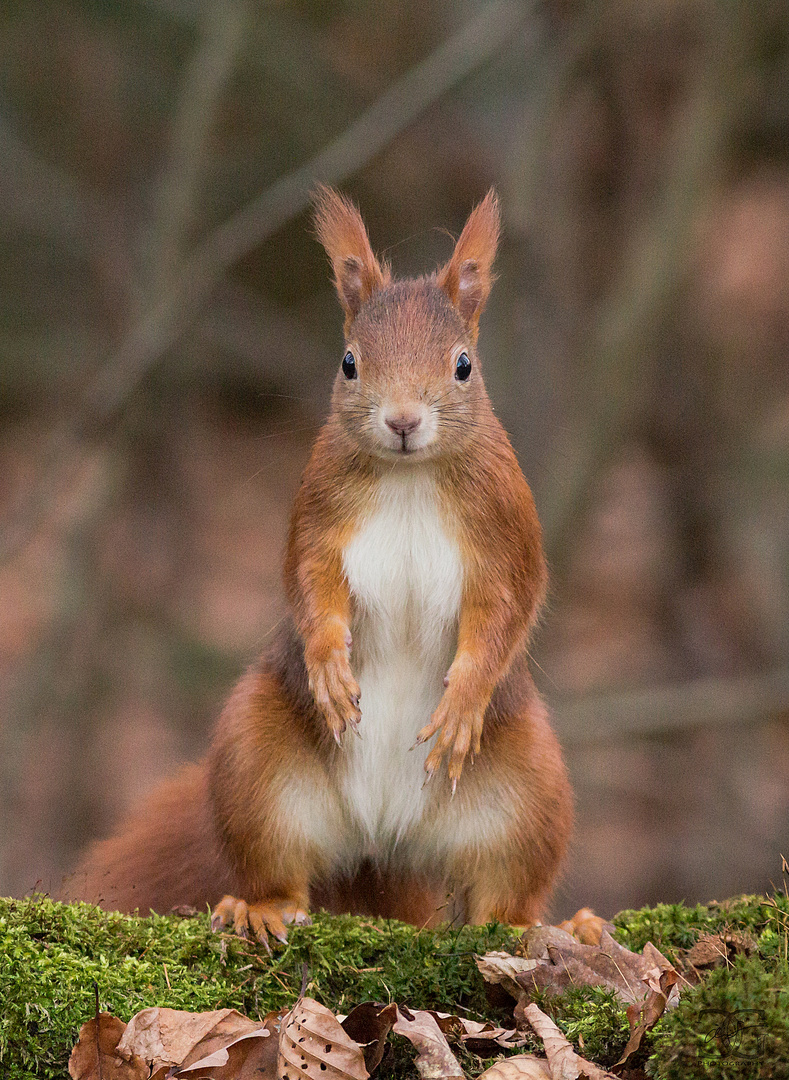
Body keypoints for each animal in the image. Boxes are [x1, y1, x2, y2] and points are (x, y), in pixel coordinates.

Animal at [67, 187, 569, 946]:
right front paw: (330, 665)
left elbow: (507, 608)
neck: (408, 477)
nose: (402, 421)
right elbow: (311, 585)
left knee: (502, 895)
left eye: (463, 365)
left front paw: (461, 699)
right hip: (257, 762)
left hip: (527, 789)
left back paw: (548, 929)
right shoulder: (318, 513)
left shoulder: (504, 526)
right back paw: (264, 909)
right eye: (348, 362)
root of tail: (385, 841)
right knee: (279, 868)